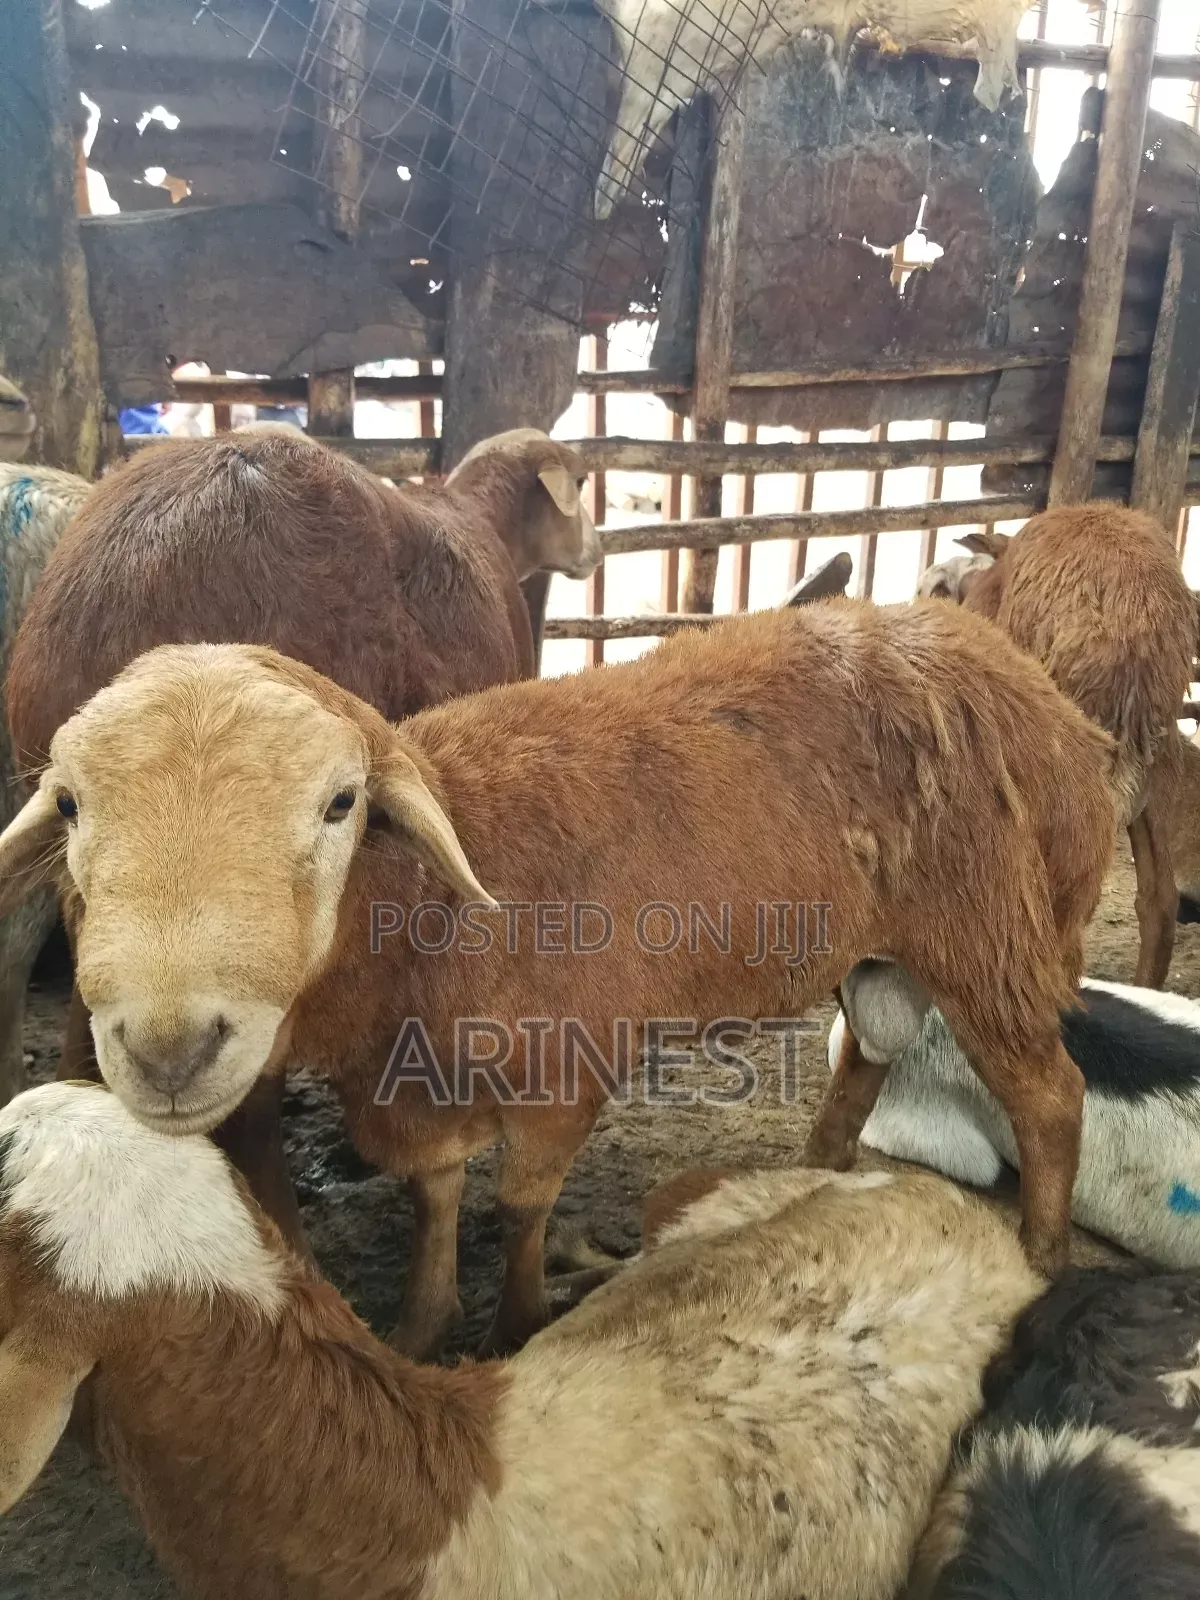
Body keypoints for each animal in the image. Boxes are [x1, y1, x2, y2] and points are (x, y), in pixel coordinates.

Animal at [0, 600, 1116, 1354]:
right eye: (69, 805)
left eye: (340, 803)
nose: (169, 1048)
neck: (422, 918)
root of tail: (1035, 688)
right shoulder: (419, 1079)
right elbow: (437, 1196)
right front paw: (423, 1319)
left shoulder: (565, 1067)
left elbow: (519, 1204)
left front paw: (516, 1321)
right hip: (883, 951)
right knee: (865, 1059)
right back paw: (819, 1174)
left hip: (992, 934)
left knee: (1050, 1095)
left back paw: (1043, 1254)